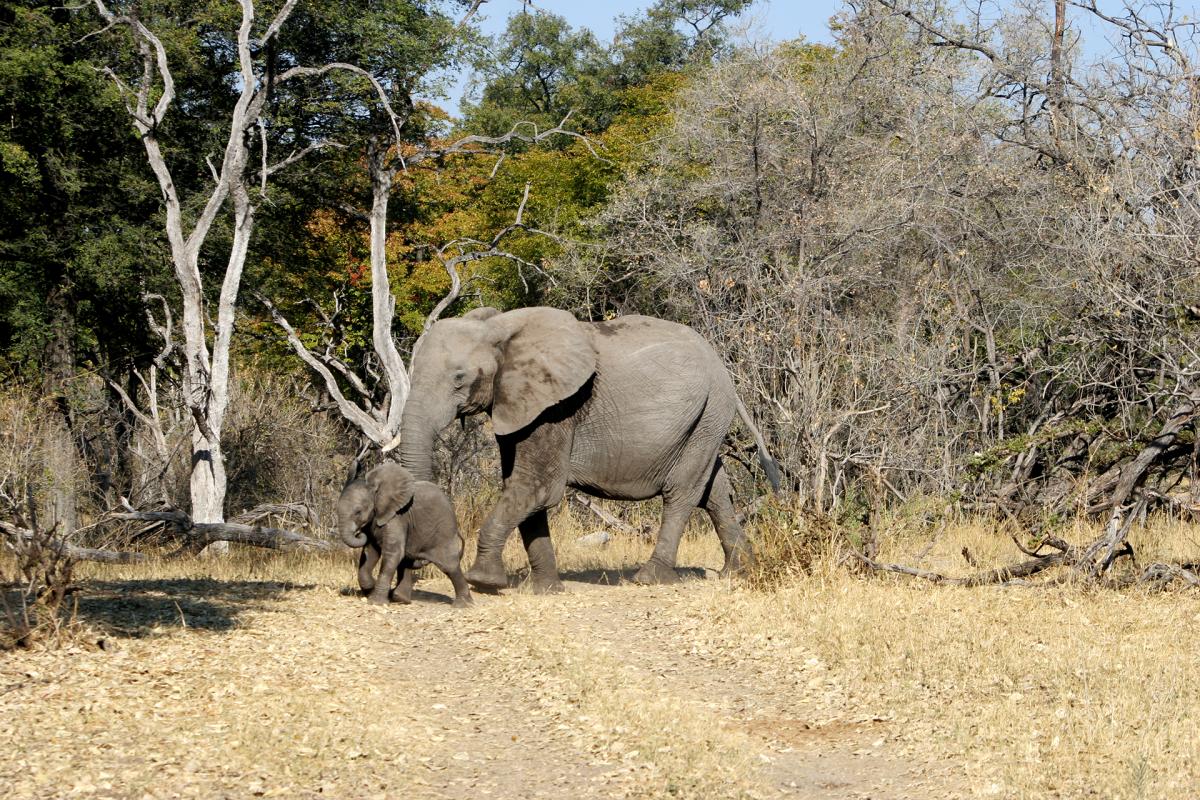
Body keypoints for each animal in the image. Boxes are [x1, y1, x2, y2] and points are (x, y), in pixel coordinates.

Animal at [338, 462, 472, 606]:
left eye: (358, 512)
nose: (359, 533)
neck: (376, 490)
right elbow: (371, 552)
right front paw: (370, 588)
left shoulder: (397, 517)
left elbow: (392, 553)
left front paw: (376, 602)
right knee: (406, 561)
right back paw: (400, 598)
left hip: (444, 530)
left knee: (449, 565)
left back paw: (463, 605)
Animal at [388, 307, 772, 594]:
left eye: (459, 378)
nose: (416, 568)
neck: (501, 328)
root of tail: (722, 368)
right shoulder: (521, 404)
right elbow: (524, 489)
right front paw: (545, 590)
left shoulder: (559, 406)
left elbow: (538, 487)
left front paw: (484, 582)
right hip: (706, 418)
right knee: (713, 489)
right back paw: (738, 572)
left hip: (709, 412)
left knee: (682, 491)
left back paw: (650, 579)